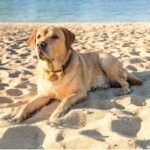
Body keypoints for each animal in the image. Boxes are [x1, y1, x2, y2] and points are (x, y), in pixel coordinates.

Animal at [8, 26, 142, 124]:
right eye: (38, 37)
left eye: (55, 37)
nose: (40, 44)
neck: (55, 71)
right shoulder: (44, 95)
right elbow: (27, 105)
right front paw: (17, 115)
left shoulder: (80, 92)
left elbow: (66, 99)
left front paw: (57, 113)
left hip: (105, 60)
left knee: (125, 81)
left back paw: (124, 89)